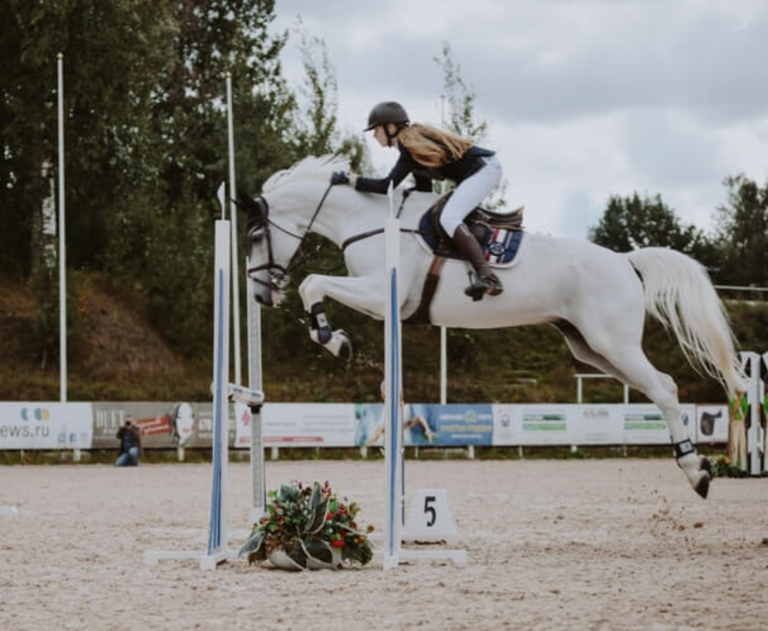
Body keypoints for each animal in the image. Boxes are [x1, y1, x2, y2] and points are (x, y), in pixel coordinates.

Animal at [240, 155, 748, 498]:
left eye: (255, 235)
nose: (261, 295)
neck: (368, 221)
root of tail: (625, 261)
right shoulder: (383, 306)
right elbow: (318, 290)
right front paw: (337, 340)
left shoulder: (378, 292)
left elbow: (311, 282)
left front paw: (334, 341)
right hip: (591, 348)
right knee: (660, 386)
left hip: (613, 343)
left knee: (663, 388)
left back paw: (697, 471)